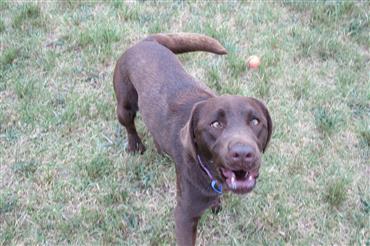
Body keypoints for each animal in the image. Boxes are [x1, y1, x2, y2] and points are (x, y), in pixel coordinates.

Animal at [112, 33, 272, 246]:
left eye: (255, 121)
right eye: (215, 124)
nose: (243, 154)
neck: (210, 172)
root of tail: (146, 41)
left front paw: (216, 204)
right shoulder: (184, 216)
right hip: (125, 105)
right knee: (129, 125)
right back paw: (135, 145)